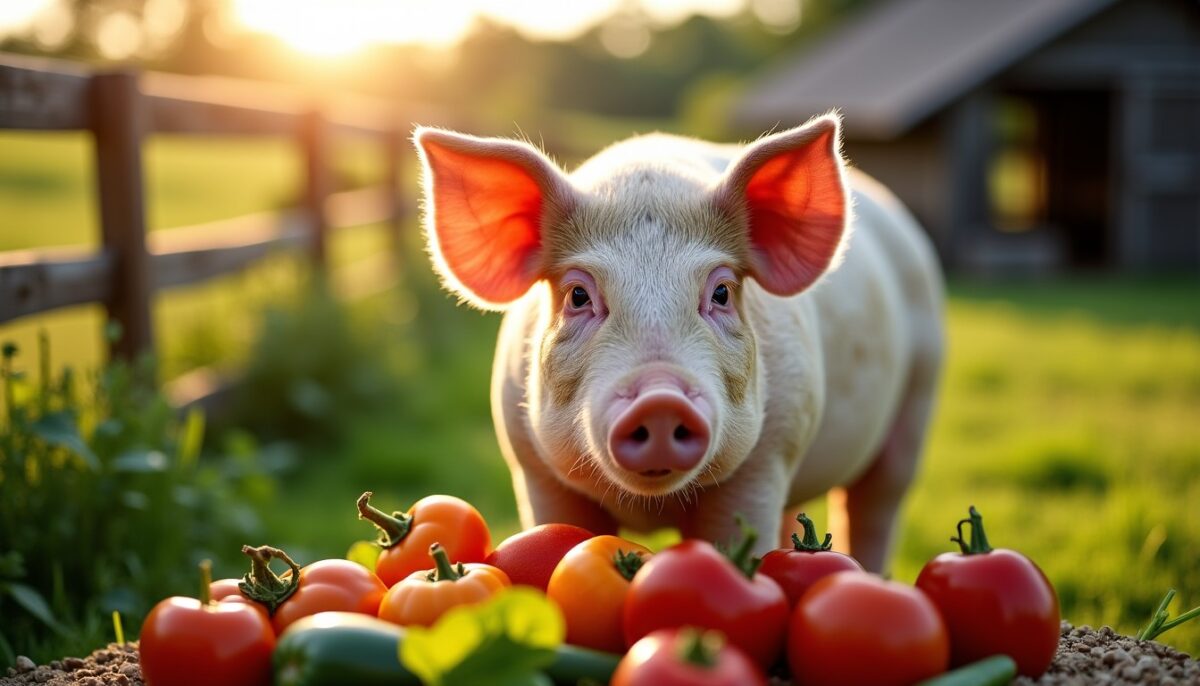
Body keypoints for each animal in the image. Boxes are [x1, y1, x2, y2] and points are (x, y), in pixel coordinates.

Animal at [413, 113, 943, 572]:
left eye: (722, 292)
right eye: (578, 295)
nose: (660, 398)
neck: (653, 506)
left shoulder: (767, 460)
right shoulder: (531, 466)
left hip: (920, 393)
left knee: (876, 505)